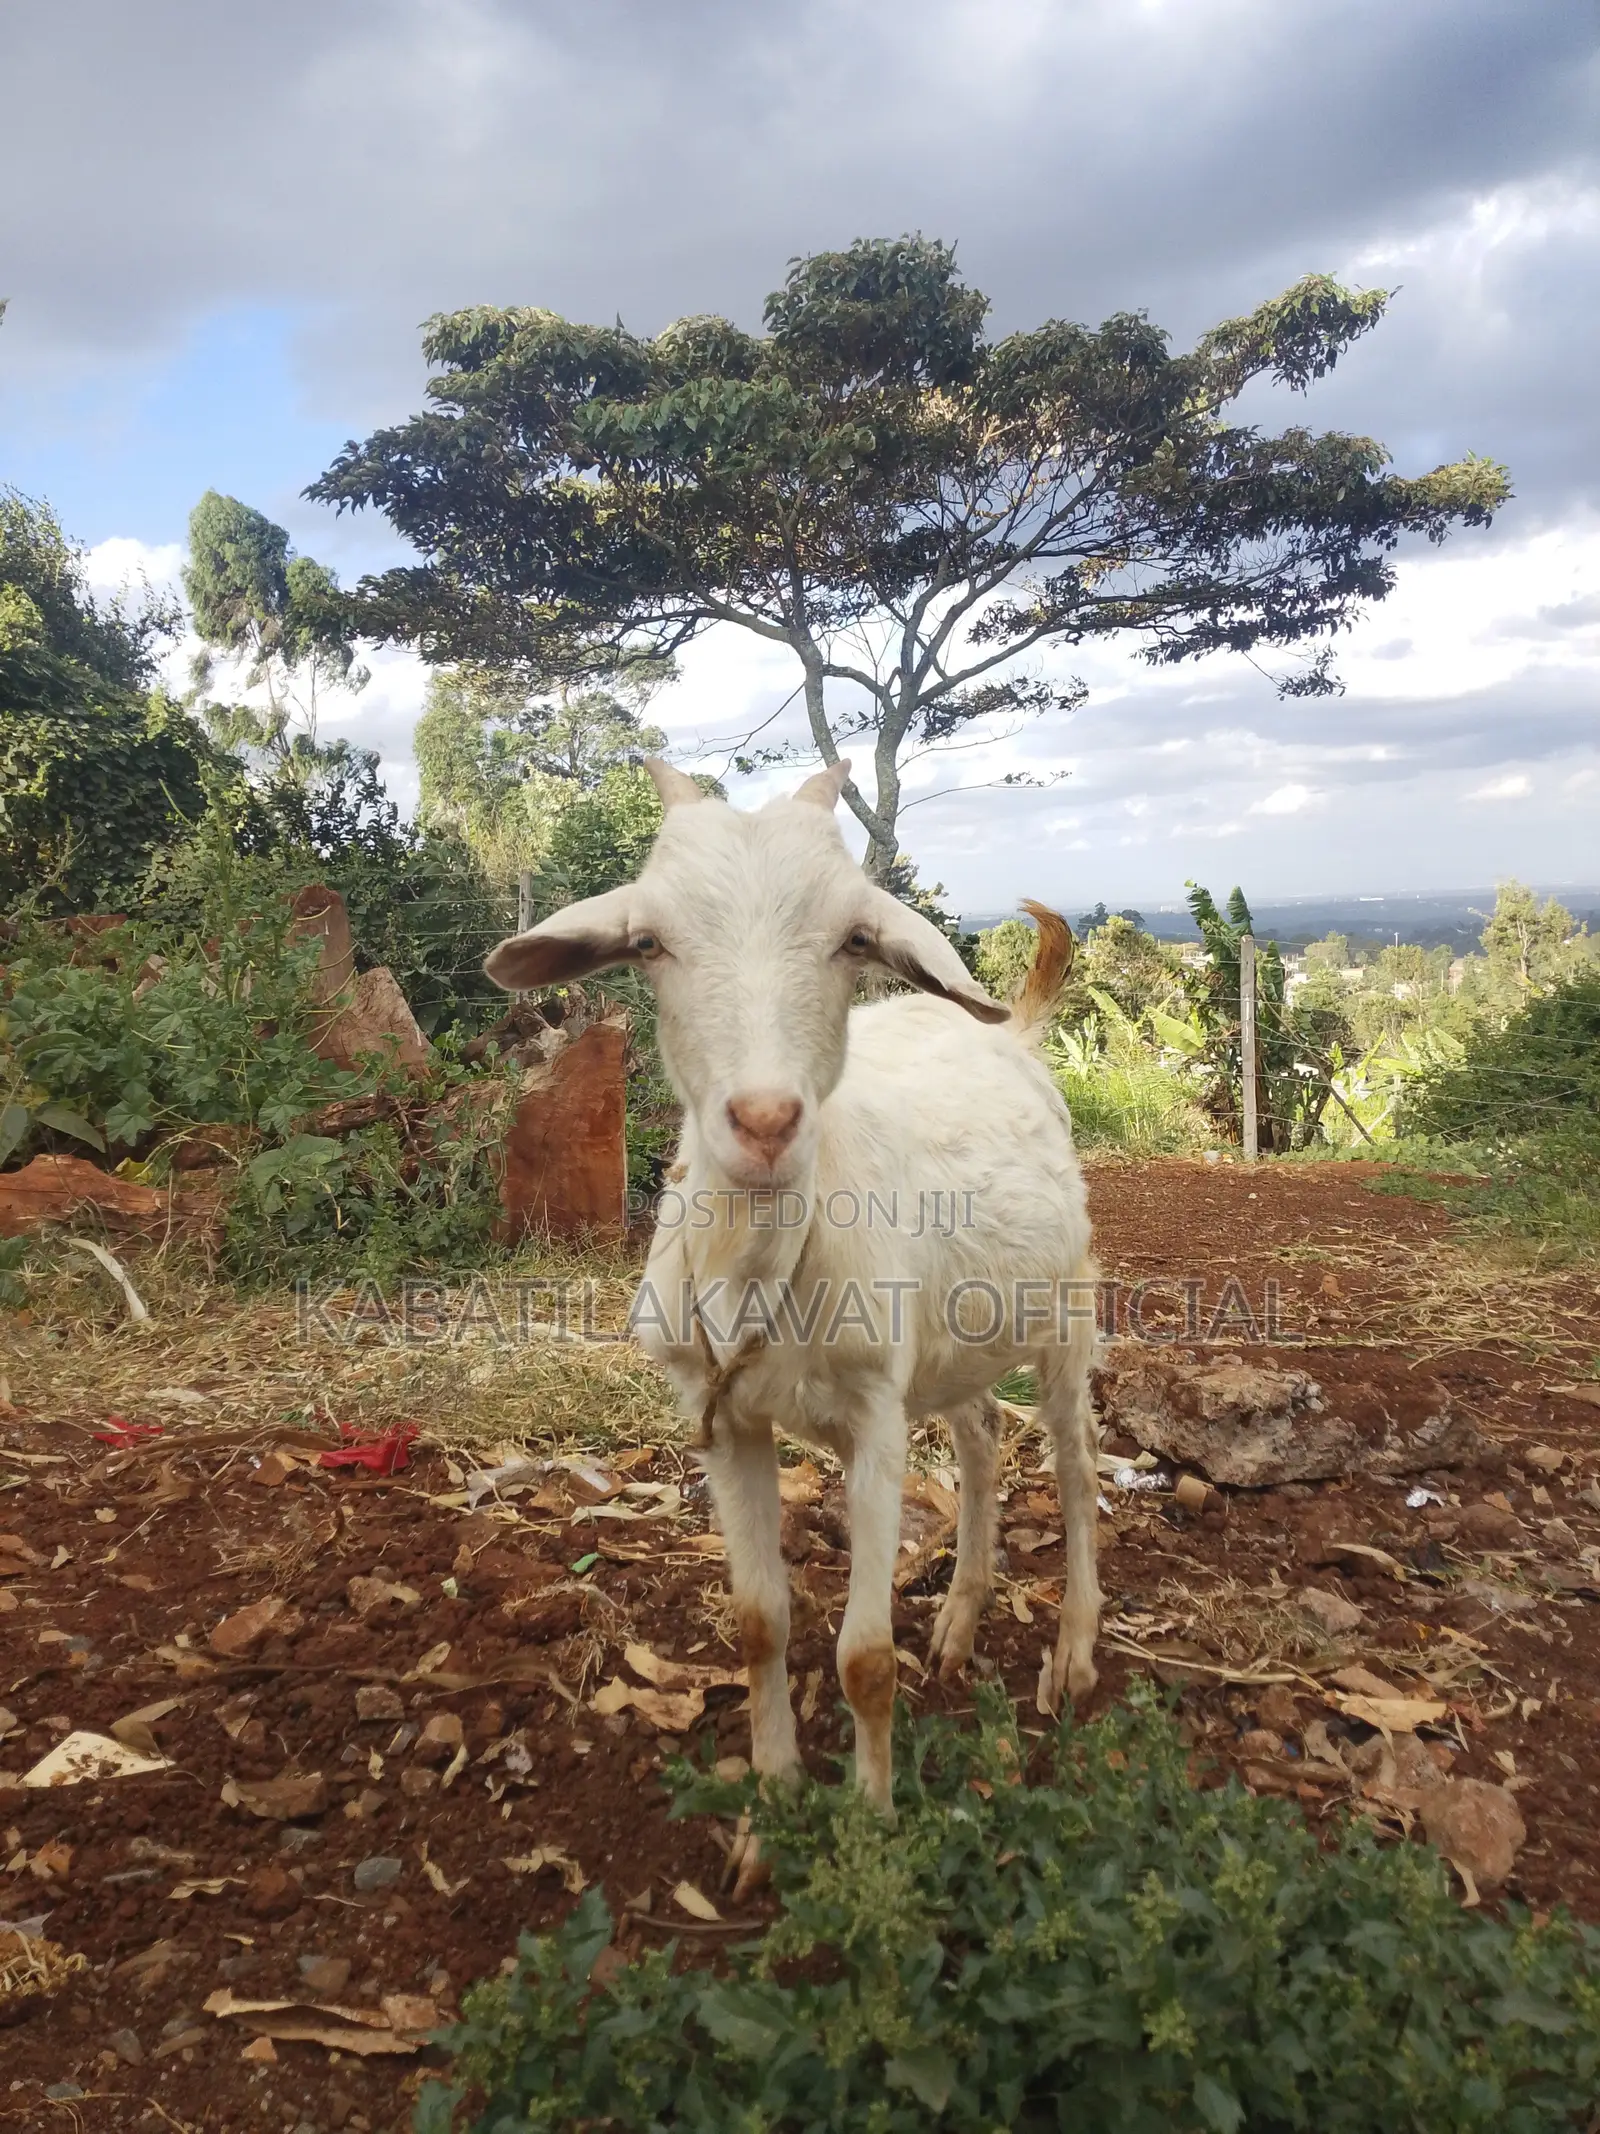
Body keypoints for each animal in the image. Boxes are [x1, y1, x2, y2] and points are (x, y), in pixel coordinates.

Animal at [485, 757, 1100, 1854]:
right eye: (649, 943)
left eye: (854, 940)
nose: (765, 1121)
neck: (759, 1269)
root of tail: (1014, 1037)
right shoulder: (722, 1418)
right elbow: (757, 1621)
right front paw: (772, 1794)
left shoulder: (874, 1417)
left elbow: (863, 1658)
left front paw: (870, 1821)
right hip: (955, 1337)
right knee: (984, 1431)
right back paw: (960, 1618)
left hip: (1066, 1306)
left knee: (1075, 1463)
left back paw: (1071, 1653)